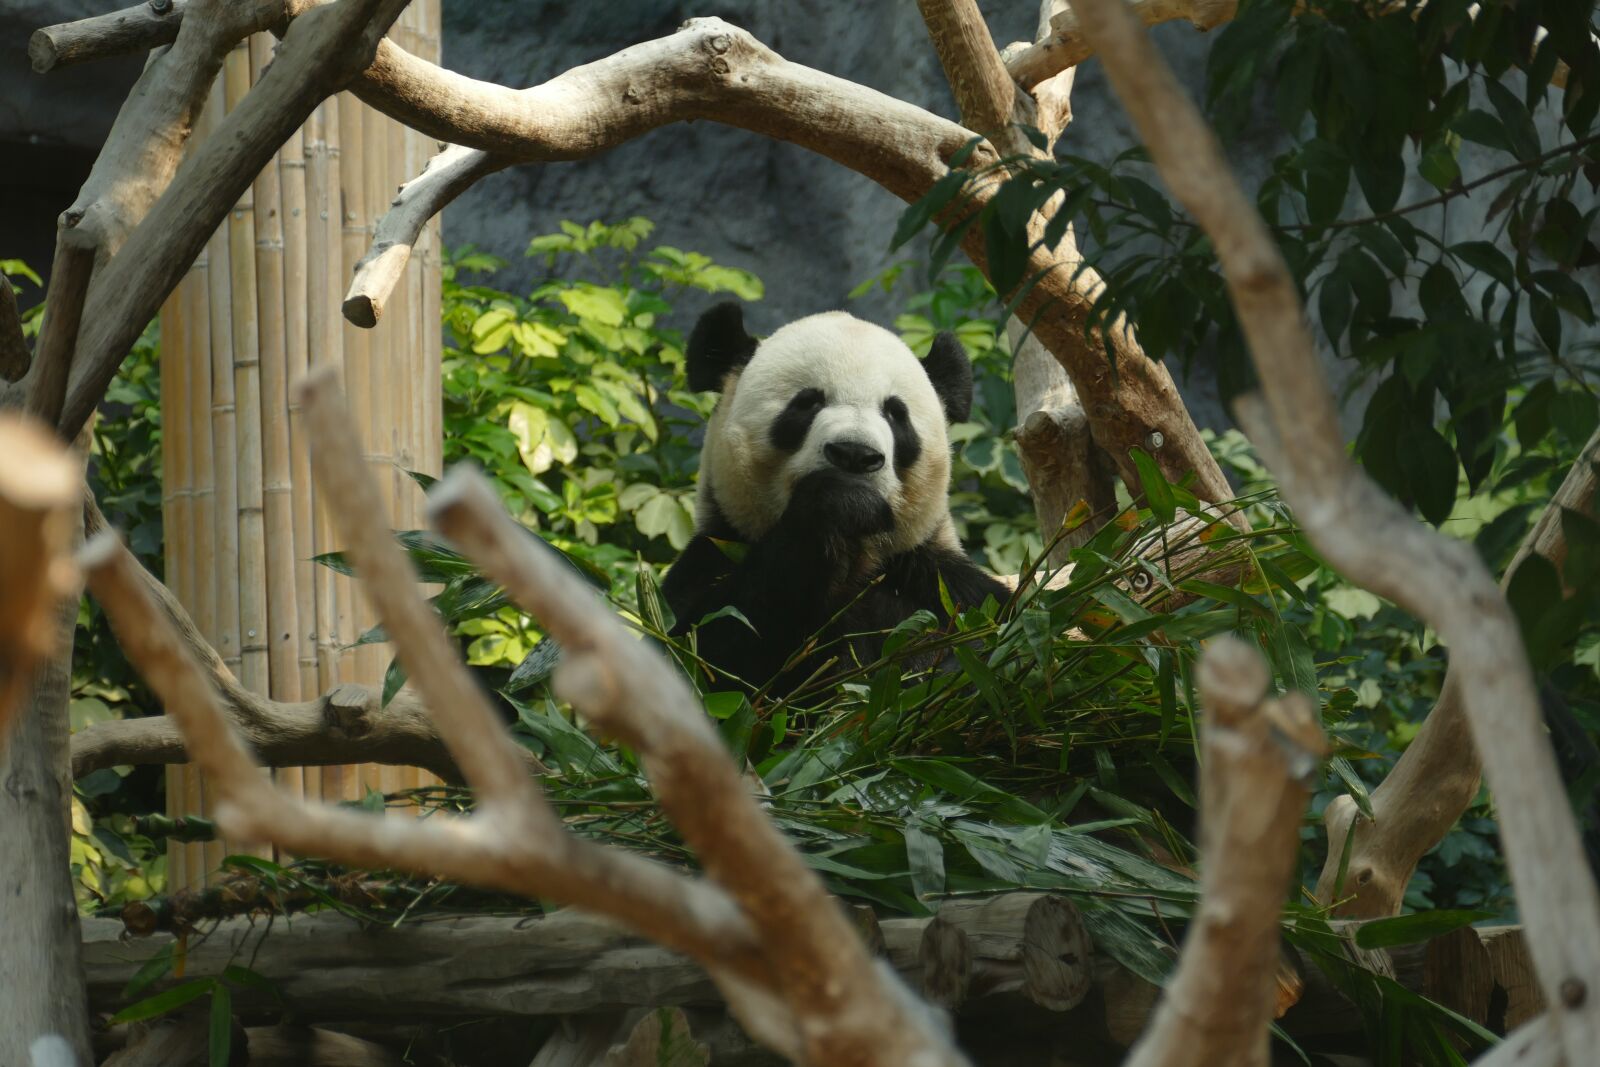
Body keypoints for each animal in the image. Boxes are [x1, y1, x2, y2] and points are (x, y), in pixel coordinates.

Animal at [661, 302, 1009, 694]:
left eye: (896, 413)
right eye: (807, 402)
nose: (855, 454)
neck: (858, 557)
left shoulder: (937, 581)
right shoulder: (714, 555)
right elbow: (708, 656)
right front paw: (841, 500)